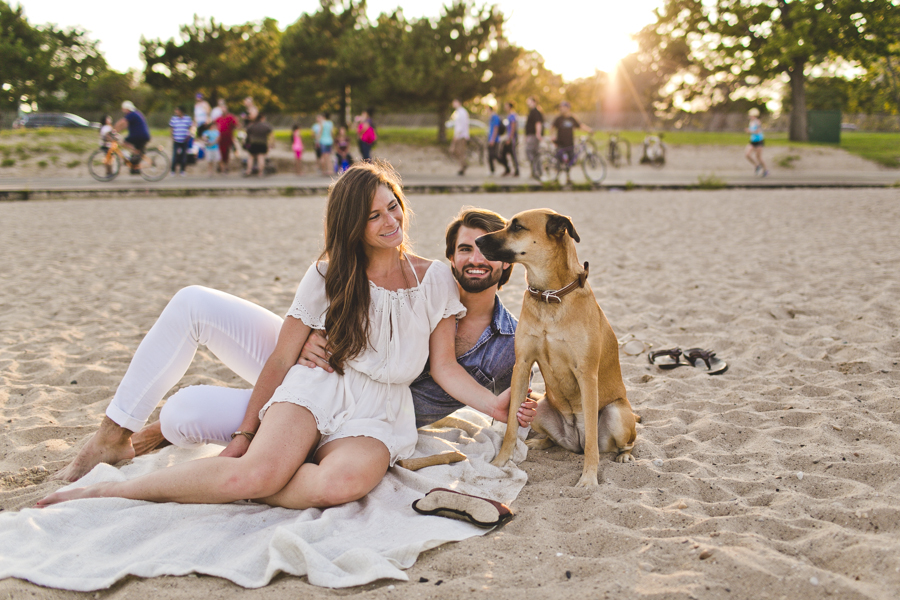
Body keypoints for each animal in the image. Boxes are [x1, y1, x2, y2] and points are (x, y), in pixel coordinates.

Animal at [474, 209, 636, 486]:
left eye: (517, 227)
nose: (477, 241)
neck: (549, 295)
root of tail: (574, 441)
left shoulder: (586, 374)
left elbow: (592, 442)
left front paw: (589, 479)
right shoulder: (522, 365)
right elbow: (510, 428)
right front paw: (499, 464)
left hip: (616, 413)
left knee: (618, 443)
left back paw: (624, 455)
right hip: (537, 404)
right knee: (552, 437)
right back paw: (541, 443)